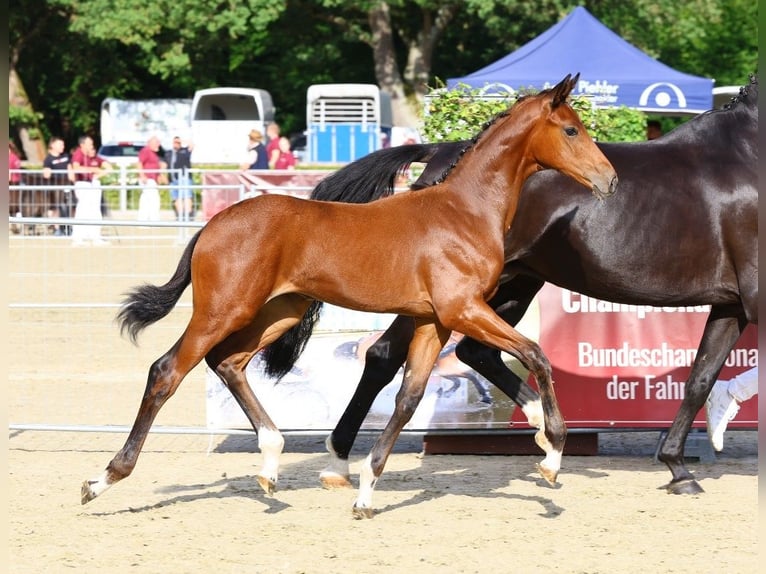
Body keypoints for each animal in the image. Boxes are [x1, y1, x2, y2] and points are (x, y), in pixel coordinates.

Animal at [81, 74, 620, 520]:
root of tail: (212, 224)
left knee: (228, 363)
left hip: (278, 312)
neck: (463, 211)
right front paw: (553, 455)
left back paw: (271, 463)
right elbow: (536, 355)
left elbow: (408, 398)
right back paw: (102, 480)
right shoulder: (464, 309)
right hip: (223, 310)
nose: (610, 179)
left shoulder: (434, 321)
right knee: (167, 371)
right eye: (571, 130)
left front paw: (364, 492)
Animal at [304, 73, 756, 496]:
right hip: (460, 296)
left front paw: (679, 466)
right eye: (571, 130)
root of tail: (441, 155)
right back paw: (338, 461)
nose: (609, 181)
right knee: (386, 354)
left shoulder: (732, 304)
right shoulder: (754, 299)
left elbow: (700, 378)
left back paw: (541, 425)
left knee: (473, 352)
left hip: (510, 287)